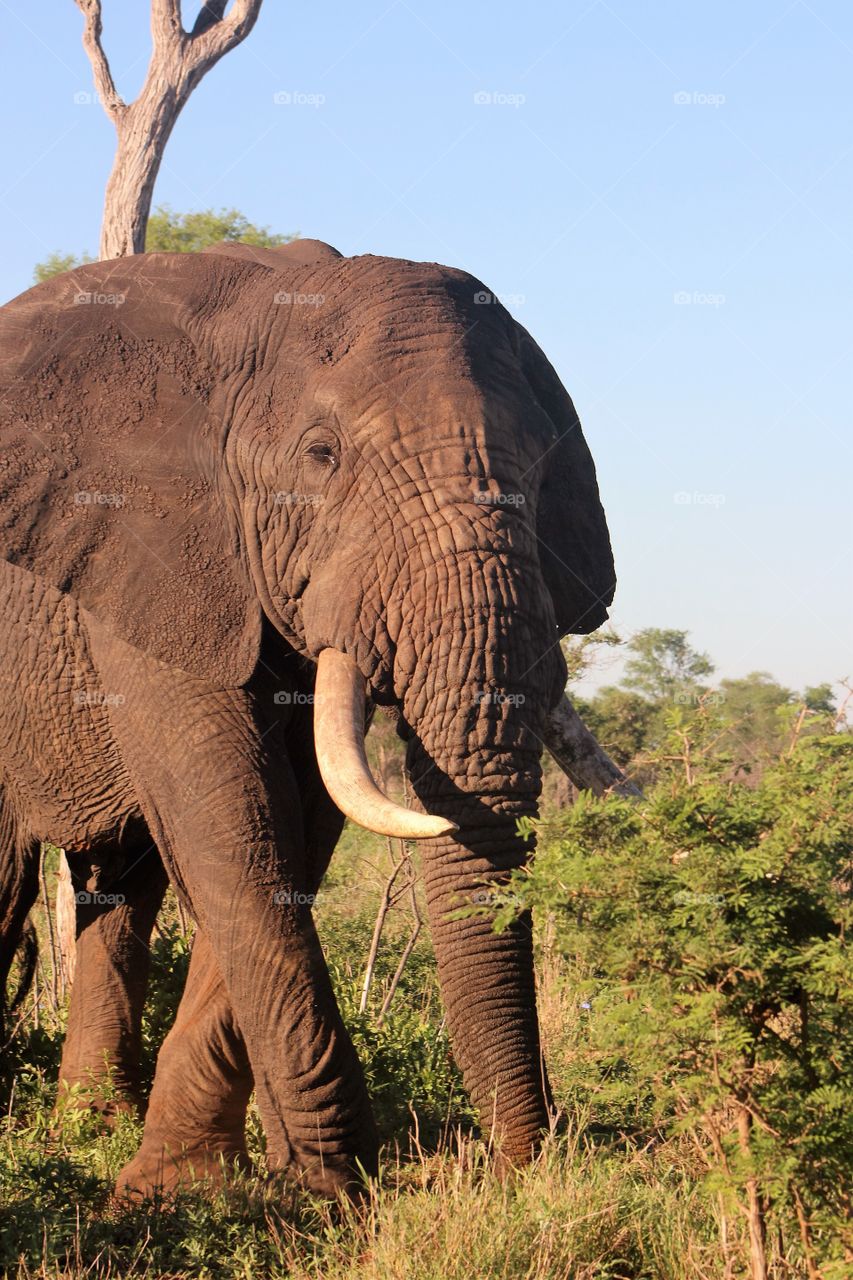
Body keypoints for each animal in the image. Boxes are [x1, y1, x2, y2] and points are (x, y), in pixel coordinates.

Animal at [0, 232, 627, 1198]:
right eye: (321, 455)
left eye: (541, 468)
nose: (525, 1161)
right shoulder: (158, 548)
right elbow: (226, 813)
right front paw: (322, 1191)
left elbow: (294, 820)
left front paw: (192, 1180)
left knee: (124, 885)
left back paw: (92, 1126)